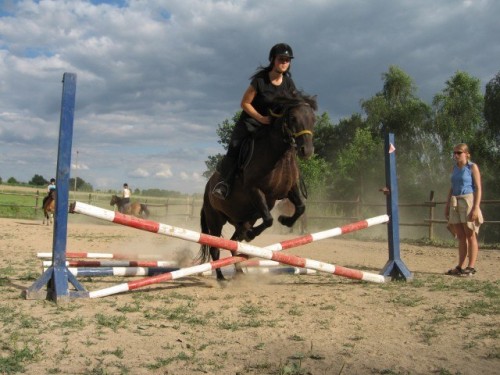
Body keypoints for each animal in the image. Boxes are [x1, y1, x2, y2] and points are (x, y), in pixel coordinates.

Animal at [196, 91, 316, 280]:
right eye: (293, 118)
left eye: (313, 119)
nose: (307, 150)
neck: (279, 156)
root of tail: (208, 188)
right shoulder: (255, 190)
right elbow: (268, 219)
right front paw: (252, 234)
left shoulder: (289, 189)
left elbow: (300, 208)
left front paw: (285, 220)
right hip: (215, 219)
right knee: (216, 248)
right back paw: (221, 278)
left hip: (242, 219)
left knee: (233, 243)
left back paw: (239, 271)